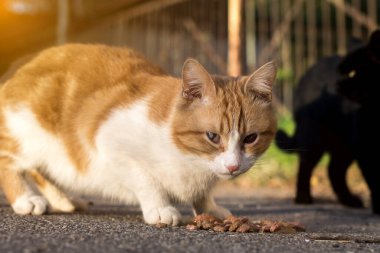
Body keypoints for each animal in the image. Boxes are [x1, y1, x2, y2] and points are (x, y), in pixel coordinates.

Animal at [0, 43, 280, 225]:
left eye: (250, 138)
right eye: (212, 137)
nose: (233, 167)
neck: (187, 157)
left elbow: (202, 195)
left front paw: (210, 208)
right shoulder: (108, 142)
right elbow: (146, 181)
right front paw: (160, 207)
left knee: (43, 170)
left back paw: (65, 199)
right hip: (30, 133)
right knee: (11, 162)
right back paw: (27, 199)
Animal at [276, 30, 380, 214]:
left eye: (352, 72)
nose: (336, 83)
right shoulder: (365, 147)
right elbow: (374, 180)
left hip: (344, 144)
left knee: (334, 170)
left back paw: (349, 200)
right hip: (314, 136)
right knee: (306, 165)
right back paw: (303, 199)